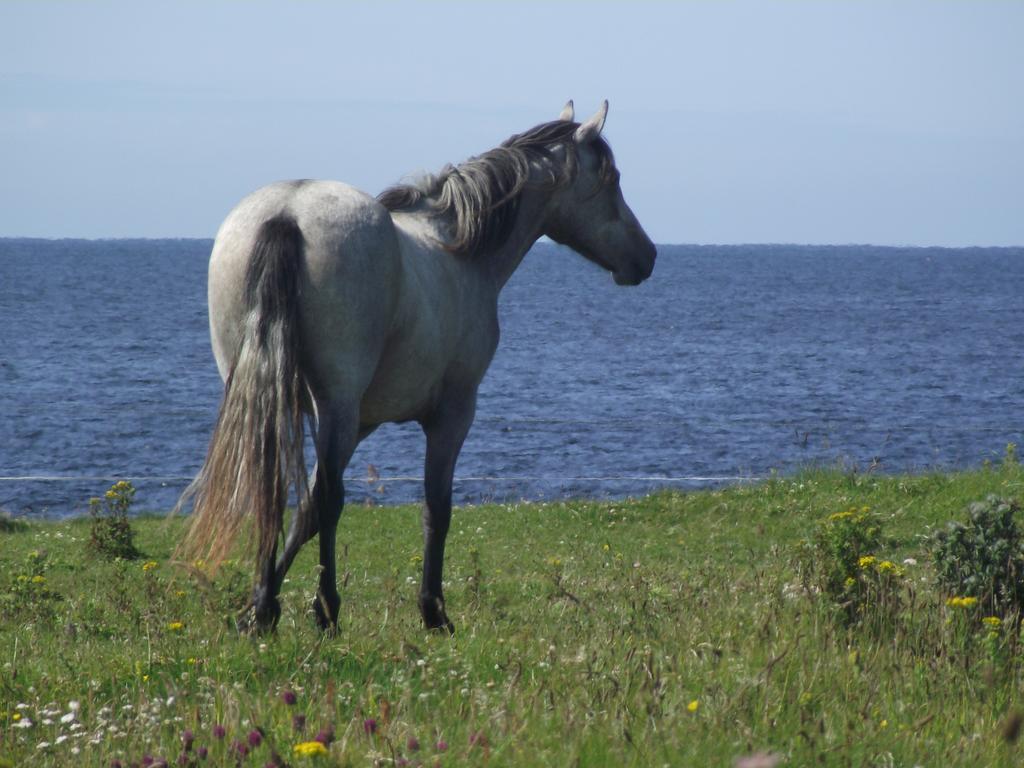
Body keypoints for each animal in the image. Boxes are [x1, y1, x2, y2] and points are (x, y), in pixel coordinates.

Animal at [180, 99, 659, 634]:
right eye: (611, 179)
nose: (647, 256)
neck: (460, 249)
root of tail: (287, 212)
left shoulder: (361, 423)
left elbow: (304, 514)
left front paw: (261, 604)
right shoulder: (451, 414)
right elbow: (434, 508)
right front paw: (433, 611)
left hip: (265, 393)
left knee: (273, 490)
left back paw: (268, 608)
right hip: (335, 403)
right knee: (329, 500)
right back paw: (328, 609)